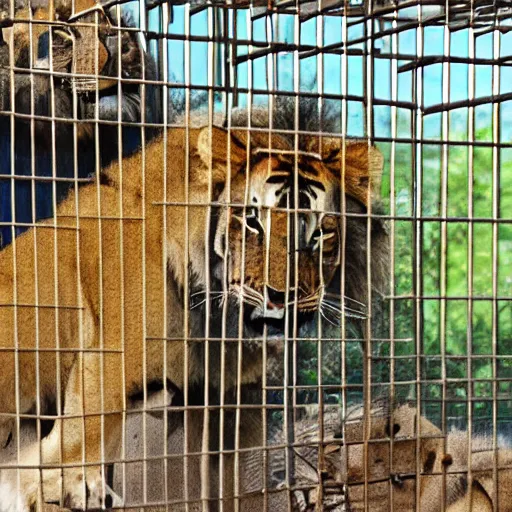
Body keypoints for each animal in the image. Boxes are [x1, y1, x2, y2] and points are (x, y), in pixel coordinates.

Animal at [0, 122, 386, 510]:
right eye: (252, 223)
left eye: (321, 233)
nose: (282, 296)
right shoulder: (107, 361)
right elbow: (81, 431)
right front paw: (64, 485)